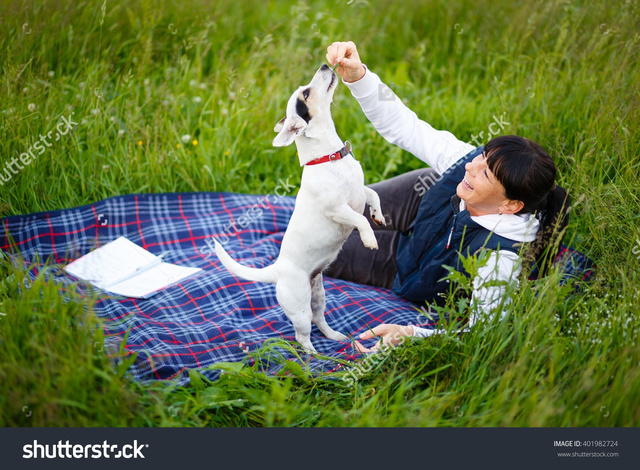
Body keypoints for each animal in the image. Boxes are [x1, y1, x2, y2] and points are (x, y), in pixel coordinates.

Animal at [215, 65, 384, 352]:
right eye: (305, 93)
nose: (325, 65)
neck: (328, 157)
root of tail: (276, 271)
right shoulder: (338, 209)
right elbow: (359, 220)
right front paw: (369, 238)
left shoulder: (361, 192)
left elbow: (374, 197)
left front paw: (379, 216)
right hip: (300, 308)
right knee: (302, 335)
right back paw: (314, 355)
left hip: (318, 295)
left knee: (320, 320)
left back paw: (335, 337)